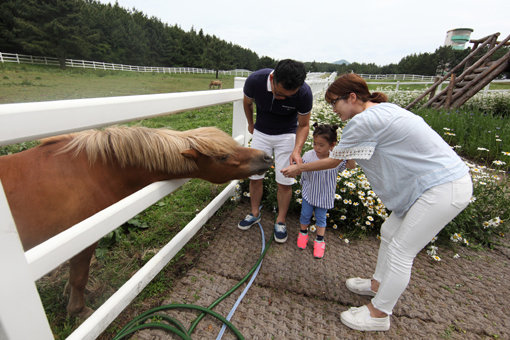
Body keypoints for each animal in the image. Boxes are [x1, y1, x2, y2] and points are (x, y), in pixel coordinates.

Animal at [0, 125, 272, 318]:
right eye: (223, 156)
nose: (266, 157)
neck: (91, 172)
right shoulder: (82, 241)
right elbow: (79, 276)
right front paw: (79, 309)